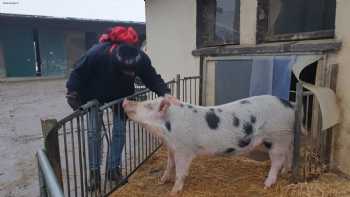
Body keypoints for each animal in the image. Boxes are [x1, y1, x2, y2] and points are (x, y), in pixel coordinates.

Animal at [122, 94, 296, 195]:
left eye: (148, 106)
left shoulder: (183, 150)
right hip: (286, 137)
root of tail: (289, 105)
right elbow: (169, 165)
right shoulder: (171, 148)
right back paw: (286, 172)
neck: (167, 131)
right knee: (289, 153)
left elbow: (180, 172)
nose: (125, 100)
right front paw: (162, 181)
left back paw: (267, 185)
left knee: (277, 160)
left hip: (277, 136)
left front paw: (173, 192)